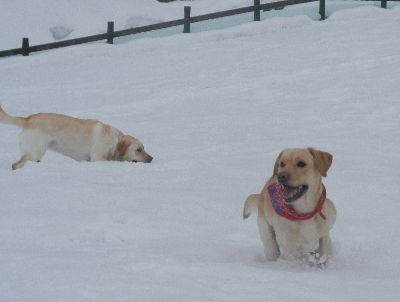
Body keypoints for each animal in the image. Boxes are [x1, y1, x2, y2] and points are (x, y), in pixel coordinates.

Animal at [0, 105, 153, 169]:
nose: (152, 159)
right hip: (35, 151)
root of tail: (27, 119)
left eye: (144, 148)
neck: (114, 142)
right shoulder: (98, 158)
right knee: (15, 164)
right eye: (138, 150)